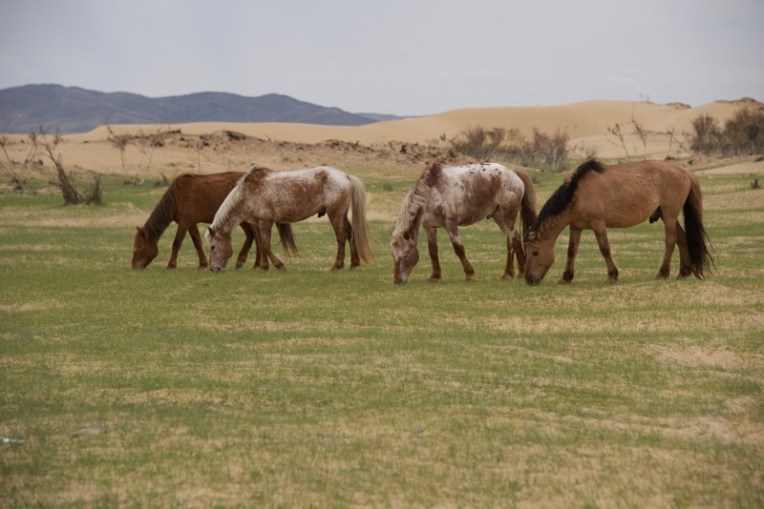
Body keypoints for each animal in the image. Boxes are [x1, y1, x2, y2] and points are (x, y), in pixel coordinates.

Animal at [132, 172, 296, 270]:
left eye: (137, 248)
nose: (134, 266)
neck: (175, 197)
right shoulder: (191, 223)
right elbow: (197, 242)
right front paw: (203, 264)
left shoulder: (184, 223)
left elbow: (176, 243)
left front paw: (171, 265)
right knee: (253, 237)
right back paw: (251, 263)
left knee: (255, 237)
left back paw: (254, 263)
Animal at [206, 165, 373, 272]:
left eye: (212, 247)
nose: (214, 269)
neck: (248, 193)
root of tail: (346, 177)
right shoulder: (257, 223)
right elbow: (261, 244)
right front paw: (263, 267)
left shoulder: (265, 222)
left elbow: (265, 245)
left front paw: (279, 265)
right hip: (342, 214)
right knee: (350, 234)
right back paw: (354, 264)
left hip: (335, 214)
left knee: (341, 237)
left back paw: (337, 266)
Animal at [391, 161, 537, 284]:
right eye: (392, 255)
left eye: (406, 254)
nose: (397, 280)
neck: (431, 194)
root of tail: (513, 173)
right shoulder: (429, 227)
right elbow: (433, 251)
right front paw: (435, 276)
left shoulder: (450, 225)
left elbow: (459, 249)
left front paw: (470, 274)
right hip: (499, 217)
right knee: (516, 237)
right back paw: (521, 272)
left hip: (508, 216)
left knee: (510, 241)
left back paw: (507, 273)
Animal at [524, 159, 714, 285]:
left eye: (534, 252)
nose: (529, 279)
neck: (577, 194)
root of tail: (685, 172)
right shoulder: (576, 227)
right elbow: (572, 251)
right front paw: (566, 277)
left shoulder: (598, 224)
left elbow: (604, 249)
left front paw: (612, 275)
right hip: (668, 216)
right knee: (682, 239)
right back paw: (683, 272)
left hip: (669, 216)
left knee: (671, 241)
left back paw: (663, 272)